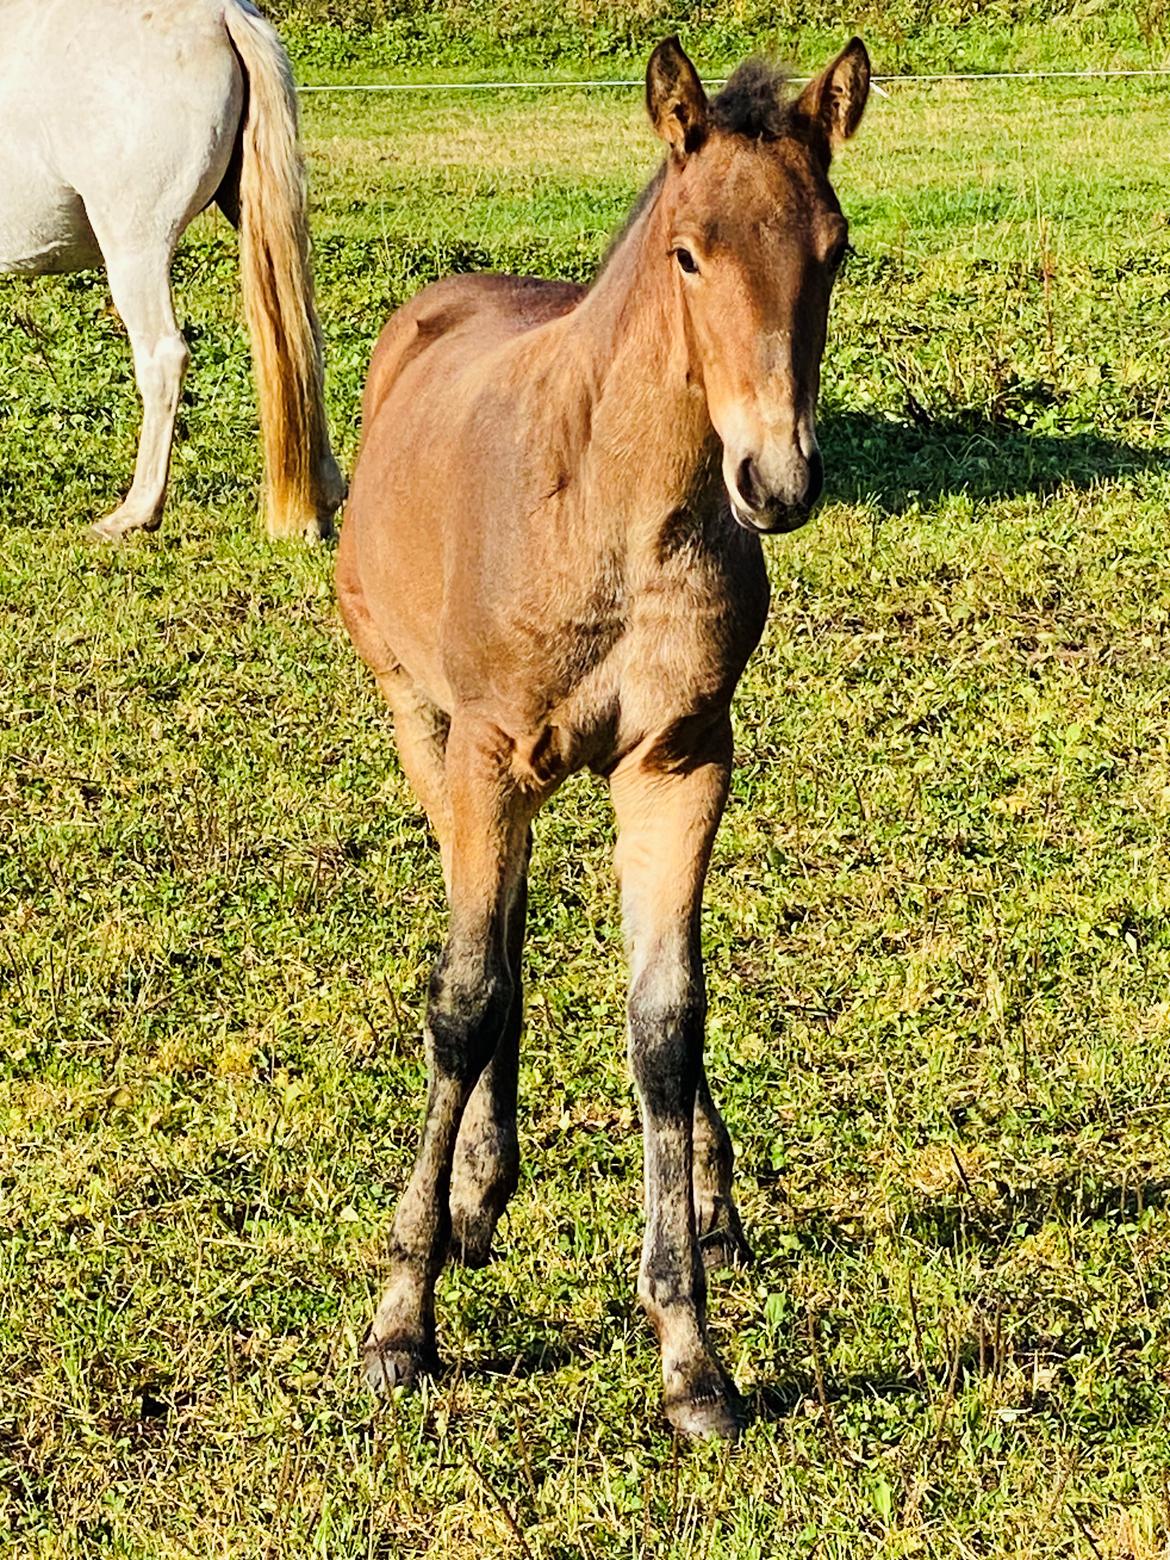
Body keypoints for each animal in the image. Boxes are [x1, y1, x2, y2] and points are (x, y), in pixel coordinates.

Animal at [338, 36, 873, 1428]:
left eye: (836, 247)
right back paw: (475, 1190)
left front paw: (691, 1349)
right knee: (490, 954)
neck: (615, 513)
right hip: (422, 725)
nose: (775, 481)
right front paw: (403, 1319)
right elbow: (466, 997)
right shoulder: (484, 756)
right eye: (688, 252)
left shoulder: (680, 763)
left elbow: (667, 1022)